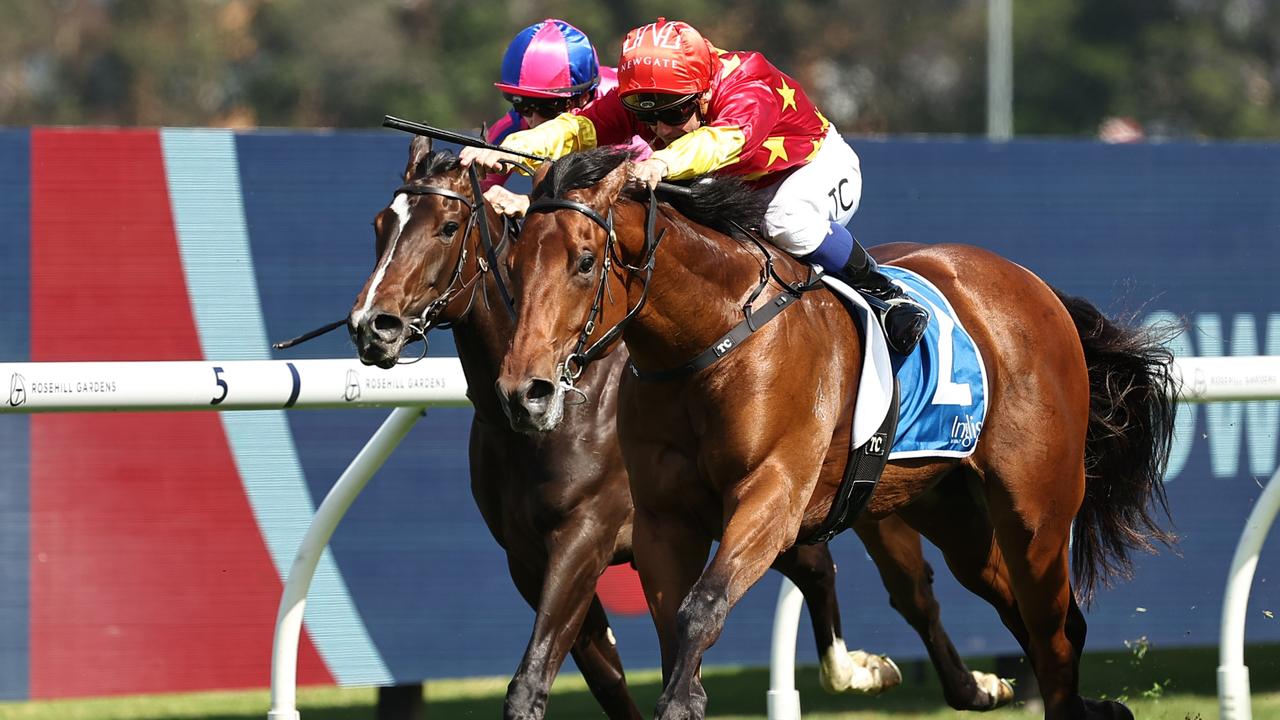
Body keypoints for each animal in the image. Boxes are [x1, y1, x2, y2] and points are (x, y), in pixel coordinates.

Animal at [345, 137, 1013, 712]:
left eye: (446, 227)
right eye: (379, 226)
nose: (372, 326)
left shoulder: (587, 534)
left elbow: (538, 673)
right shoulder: (530, 556)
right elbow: (602, 675)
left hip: (884, 498)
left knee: (914, 590)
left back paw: (964, 682)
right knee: (831, 570)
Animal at [494, 147, 1172, 717]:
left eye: (585, 263)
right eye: (511, 266)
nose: (524, 391)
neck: (709, 339)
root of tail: (1035, 285)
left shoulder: (773, 494)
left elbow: (701, 609)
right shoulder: (663, 520)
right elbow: (669, 625)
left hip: (1036, 511)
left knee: (1054, 631)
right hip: (949, 510)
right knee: (1022, 612)